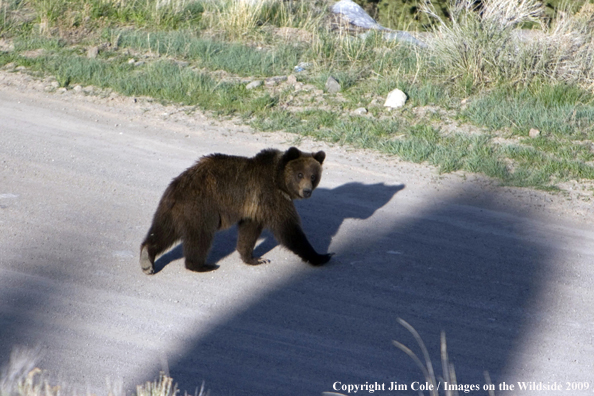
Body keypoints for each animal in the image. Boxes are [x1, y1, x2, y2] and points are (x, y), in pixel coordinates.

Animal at [140, 147, 332, 274]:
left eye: (313, 176)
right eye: (300, 174)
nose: (307, 191)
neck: (278, 180)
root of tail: (178, 184)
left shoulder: (255, 207)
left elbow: (249, 232)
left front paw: (255, 259)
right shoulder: (270, 196)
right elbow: (288, 228)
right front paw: (321, 256)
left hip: (171, 210)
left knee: (163, 231)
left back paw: (147, 257)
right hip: (201, 208)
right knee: (200, 237)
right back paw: (202, 265)